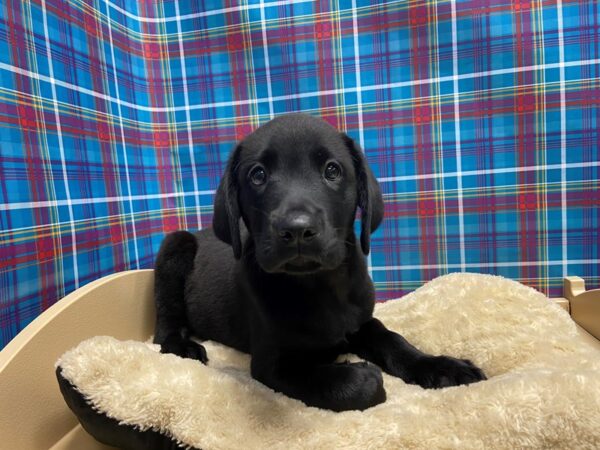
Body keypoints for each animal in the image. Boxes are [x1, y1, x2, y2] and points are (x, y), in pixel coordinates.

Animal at [152, 112, 486, 412]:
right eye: (257, 175)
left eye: (332, 170)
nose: (297, 229)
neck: (319, 285)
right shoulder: (271, 363)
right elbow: (349, 384)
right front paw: (362, 373)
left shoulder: (361, 322)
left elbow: (393, 339)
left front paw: (442, 367)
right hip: (174, 246)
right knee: (164, 323)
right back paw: (182, 346)